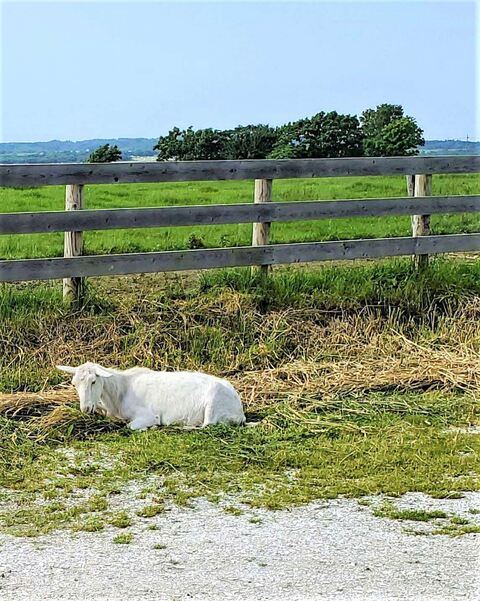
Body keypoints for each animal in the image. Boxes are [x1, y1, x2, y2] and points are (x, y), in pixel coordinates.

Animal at [56, 364, 246, 428]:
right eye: (74, 384)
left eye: (94, 381)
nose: (86, 408)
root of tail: (240, 412)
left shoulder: (147, 415)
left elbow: (130, 427)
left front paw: (153, 426)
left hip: (213, 402)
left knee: (207, 425)